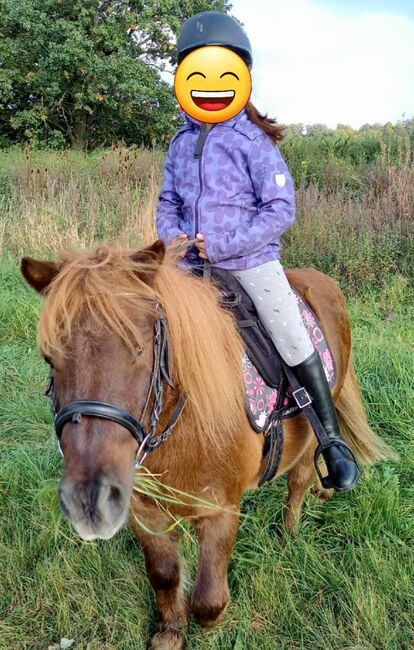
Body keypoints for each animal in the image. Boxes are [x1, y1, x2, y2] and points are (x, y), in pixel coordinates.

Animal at [21, 242, 392, 648]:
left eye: (141, 350)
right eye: (49, 357)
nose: (91, 499)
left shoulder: (220, 510)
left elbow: (208, 599)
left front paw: (207, 627)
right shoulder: (145, 512)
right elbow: (164, 575)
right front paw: (170, 633)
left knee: (299, 481)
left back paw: (288, 534)